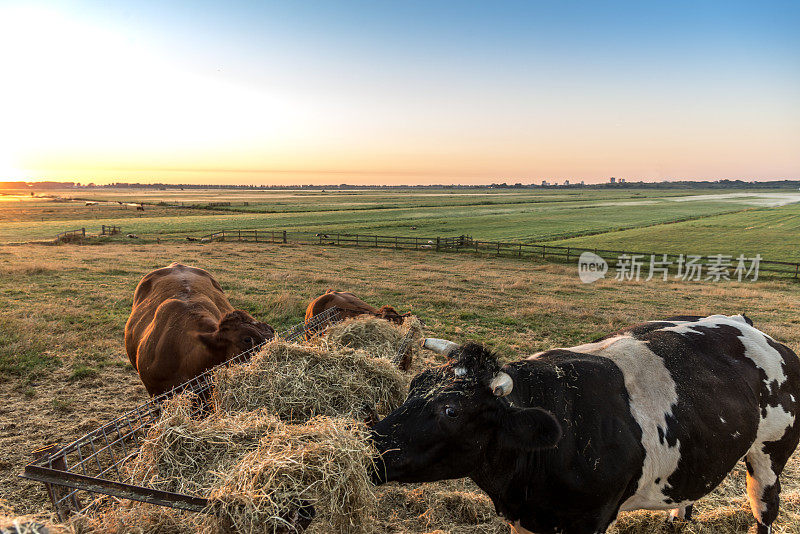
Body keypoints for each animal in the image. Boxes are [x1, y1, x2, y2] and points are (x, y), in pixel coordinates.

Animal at [370, 314, 800, 534]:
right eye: (413, 384)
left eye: (451, 411)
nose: (370, 446)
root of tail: (748, 326)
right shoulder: (527, 519)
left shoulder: (590, 520)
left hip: (769, 458)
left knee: (764, 512)